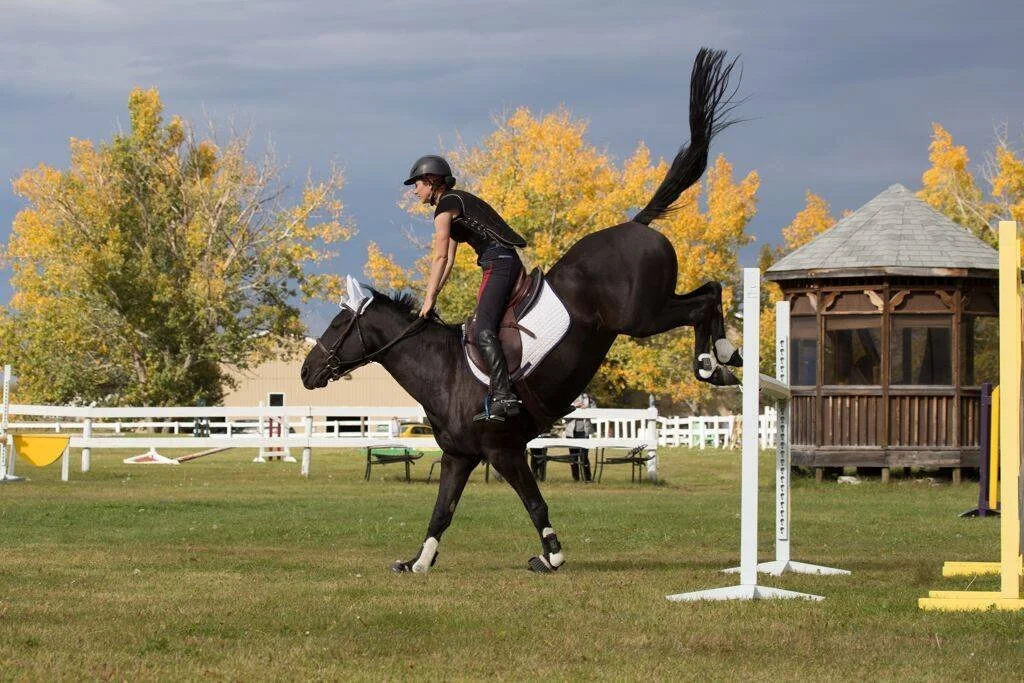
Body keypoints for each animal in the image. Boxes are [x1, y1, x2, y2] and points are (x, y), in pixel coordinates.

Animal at [301, 48, 743, 573]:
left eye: (338, 323)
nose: (305, 372)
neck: (443, 372)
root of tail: (636, 224)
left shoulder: (504, 449)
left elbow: (535, 503)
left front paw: (551, 556)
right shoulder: (459, 456)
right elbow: (441, 511)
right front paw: (418, 562)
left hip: (640, 317)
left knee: (704, 300)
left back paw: (715, 359)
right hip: (650, 309)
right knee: (709, 290)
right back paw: (723, 360)